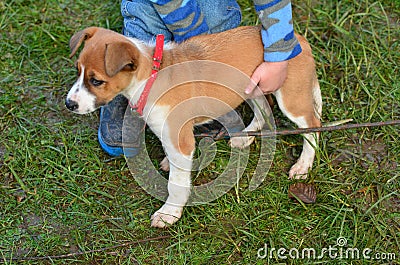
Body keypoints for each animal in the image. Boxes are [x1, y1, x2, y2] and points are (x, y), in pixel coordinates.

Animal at [65, 26, 322, 227]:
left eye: (96, 81)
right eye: (78, 71)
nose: (69, 104)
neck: (150, 78)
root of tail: (299, 39)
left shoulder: (180, 140)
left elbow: (176, 184)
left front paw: (169, 213)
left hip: (291, 98)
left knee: (313, 126)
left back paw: (303, 165)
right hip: (253, 88)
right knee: (264, 111)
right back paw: (245, 136)